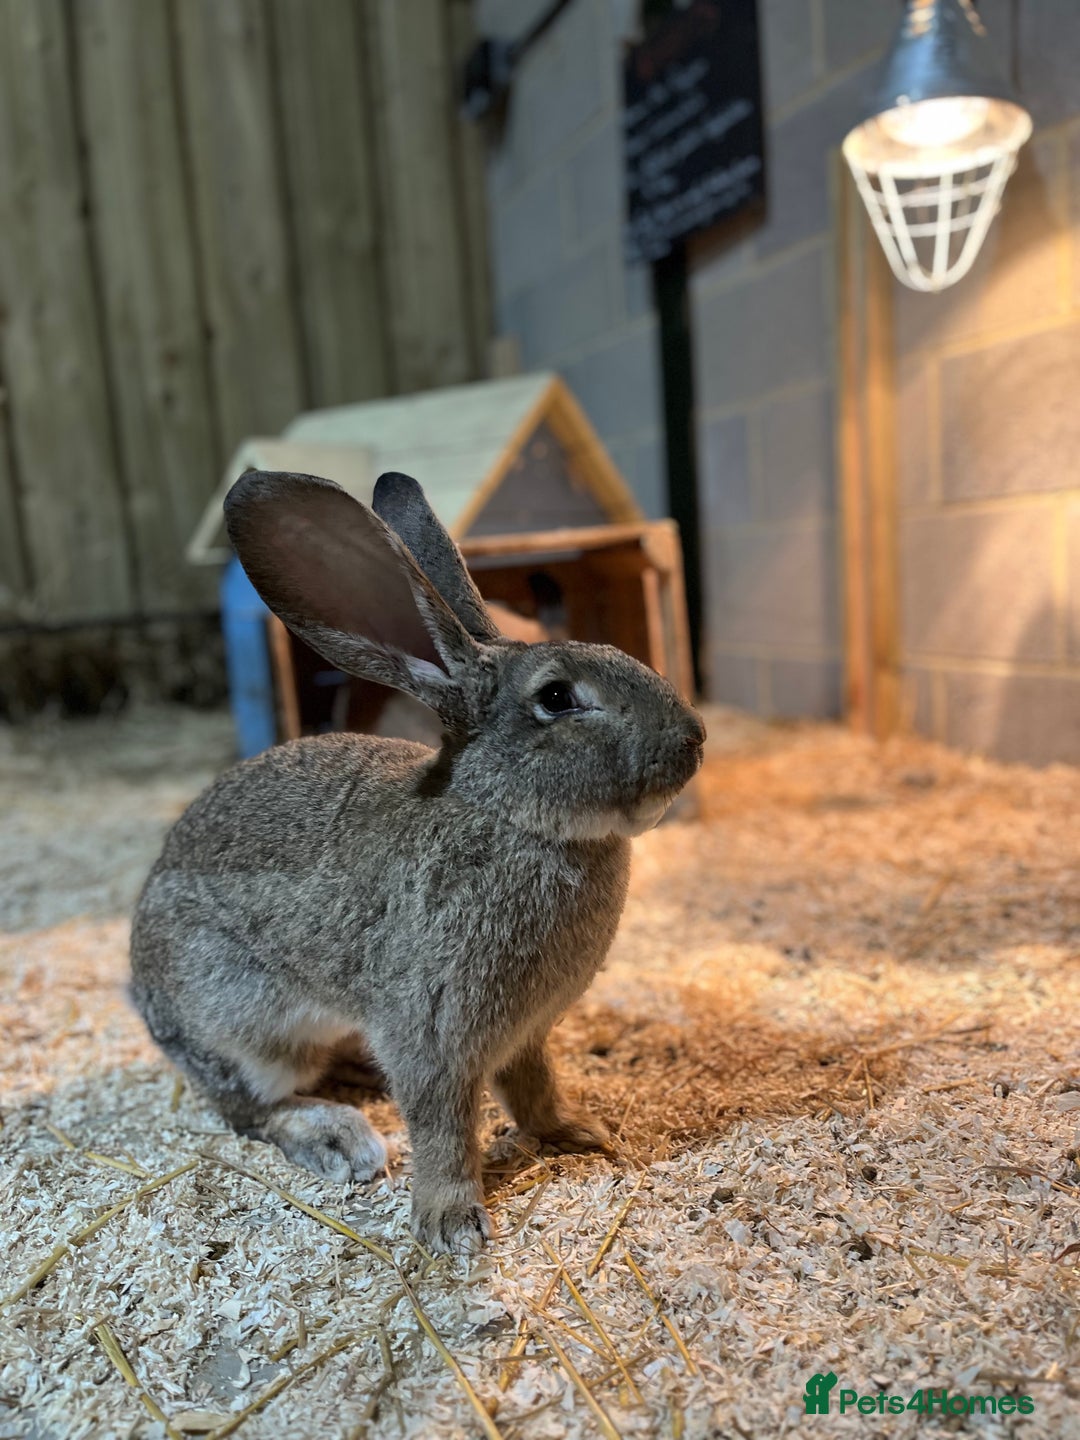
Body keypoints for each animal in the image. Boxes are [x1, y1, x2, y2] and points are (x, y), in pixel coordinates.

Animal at [130, 470, 705, 1254]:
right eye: (557, 698)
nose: (694, 737)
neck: (508, 816)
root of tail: (140, 990)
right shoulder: (432, 1033)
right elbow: (442, 1130)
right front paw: (452, 1223)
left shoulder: (526, 1034)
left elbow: (534, 1087)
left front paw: (577, 1132)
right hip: (238, 1025)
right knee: (251, 1110)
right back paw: (339, 1137)